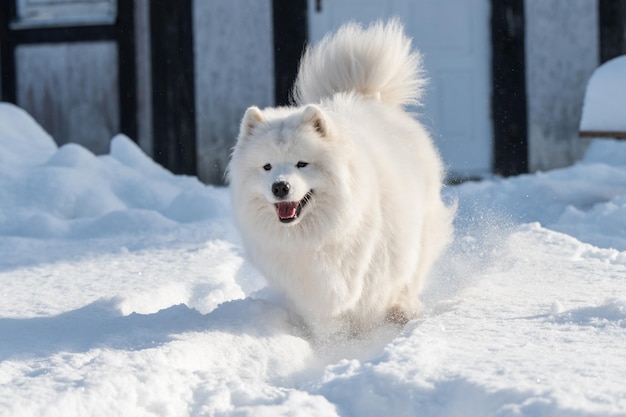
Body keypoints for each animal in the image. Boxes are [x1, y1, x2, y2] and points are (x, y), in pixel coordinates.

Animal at [227, 20, 450, 338]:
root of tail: (364, 95)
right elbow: (326, 321)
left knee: (413, 272)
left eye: (302, 163)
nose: (280, 187)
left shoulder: (371, 262)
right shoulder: (305, 285)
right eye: (267, 167)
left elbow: (372, 300)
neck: (315, 237)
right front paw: (334, 341)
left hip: (420, 229)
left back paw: (406, 308)